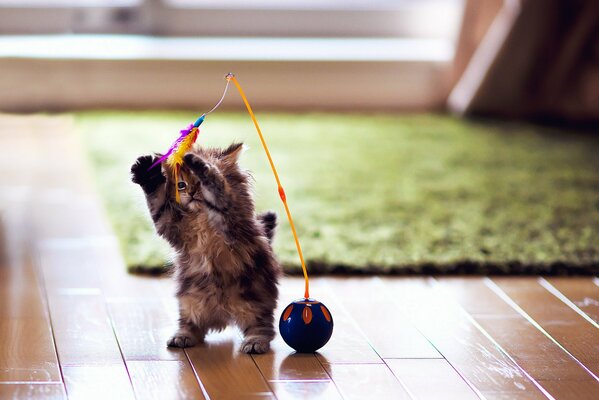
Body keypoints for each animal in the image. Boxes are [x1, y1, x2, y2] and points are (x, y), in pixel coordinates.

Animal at [131, 143, 282, 354]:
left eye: (198, 183)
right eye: (181, 185)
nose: (192, 193)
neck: (201, 217)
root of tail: (223, 314)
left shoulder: (229, 215)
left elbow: (217, 184)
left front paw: (199, 164)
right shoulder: (168, 223)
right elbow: (156, 199)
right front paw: (148, 174)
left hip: (255, 303)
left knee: (263, 328)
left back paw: (254, 343)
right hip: (189, 302)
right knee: (192, 327)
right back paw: (181, 337)